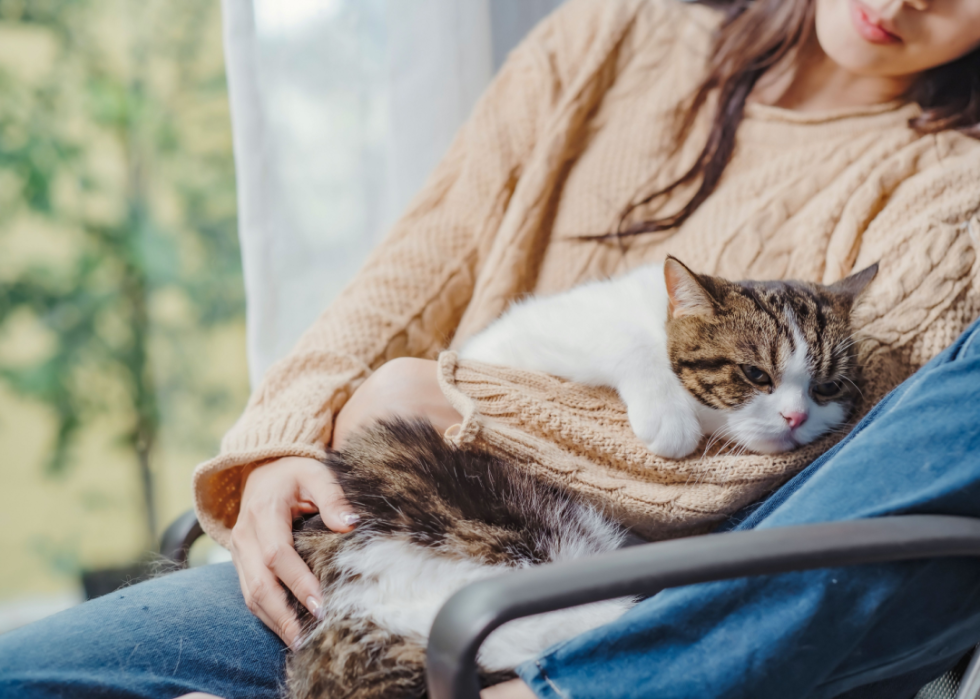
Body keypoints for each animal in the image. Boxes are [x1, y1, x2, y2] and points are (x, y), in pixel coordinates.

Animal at [282, 258, 872, 699]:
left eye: (826, 387)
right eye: (755, 375)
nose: (795, 418)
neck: (655, 311)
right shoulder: (526, 342)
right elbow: (622, 344)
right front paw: (668, 417)